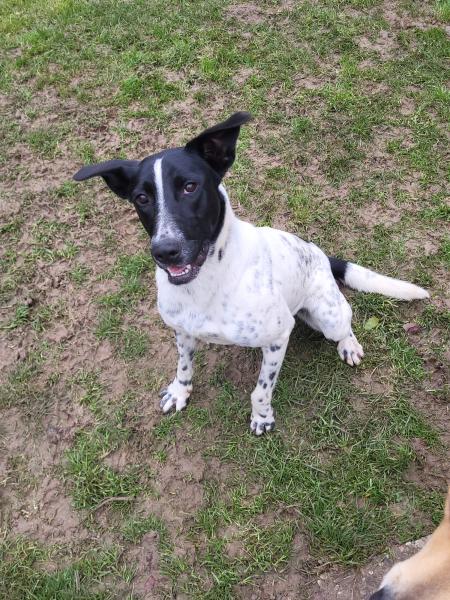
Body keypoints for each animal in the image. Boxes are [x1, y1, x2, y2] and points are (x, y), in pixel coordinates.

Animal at [74, 112, 429, 435]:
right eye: (142, 198)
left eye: (190, 187)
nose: (164, 251)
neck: (206, 282)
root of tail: (319, 253)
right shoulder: (182, 331)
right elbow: (184, 366)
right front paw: (179, 391)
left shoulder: (278, 336)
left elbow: (260, 390)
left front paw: (262, 417)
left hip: (327, 315)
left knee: (345, 323)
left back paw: (349, 345)